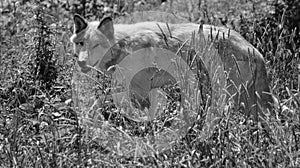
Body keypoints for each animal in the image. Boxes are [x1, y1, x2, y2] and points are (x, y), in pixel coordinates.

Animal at [69, 14, 274, 119]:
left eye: (96, 45)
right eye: (81, 44)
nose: (81, 62)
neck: (123, 44)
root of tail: (255, 51)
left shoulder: (141, 93)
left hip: (228, 97)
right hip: (246, 101)